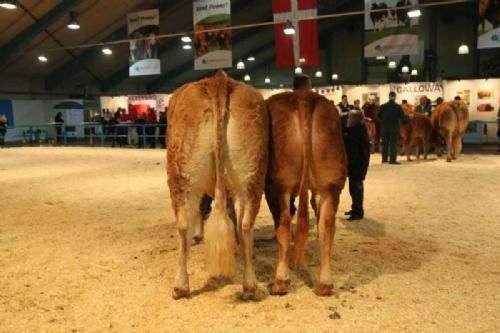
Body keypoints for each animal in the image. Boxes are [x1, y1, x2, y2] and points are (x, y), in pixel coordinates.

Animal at [167, 71, 270, 300]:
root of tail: (218, 81)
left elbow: (202, 209)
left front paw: (199, 235)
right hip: (250, 176)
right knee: (244, 224)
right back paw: (250, 286)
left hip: (181, 177)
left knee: (183, 225)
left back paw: (180, 286)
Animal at [266, 89, 348, 294]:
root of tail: (303, 98)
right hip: (331, 184)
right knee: (326, 227)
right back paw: (325, 284)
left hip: (277, 185)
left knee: (283, 225)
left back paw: (280, 282)